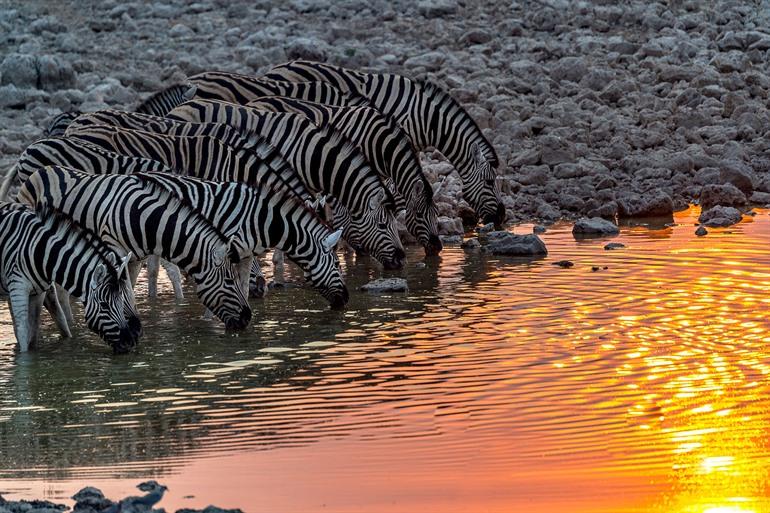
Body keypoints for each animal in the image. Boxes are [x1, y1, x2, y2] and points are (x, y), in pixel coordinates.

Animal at [0, 202, 140, 353]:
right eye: (104, 305)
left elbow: (33, 332)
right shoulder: (18, 287)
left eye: (121, 299)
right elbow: (23, 330)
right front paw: (24, 357)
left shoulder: (37, 292)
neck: (40, 250)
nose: (129, 342)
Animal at [17, 166, 253, 331]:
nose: (248, 317)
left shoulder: (134, 258)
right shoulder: (113, 250)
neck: (144, 218)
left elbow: (128, 290)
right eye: (229, 281)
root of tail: (40, 170)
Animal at [136, 172, 349, 309]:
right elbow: (223, 286)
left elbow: (244, 288)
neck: (264, 221)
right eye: (337, 264)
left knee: (151, 270)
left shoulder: (245, 255)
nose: (346, 300)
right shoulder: (226, 252)